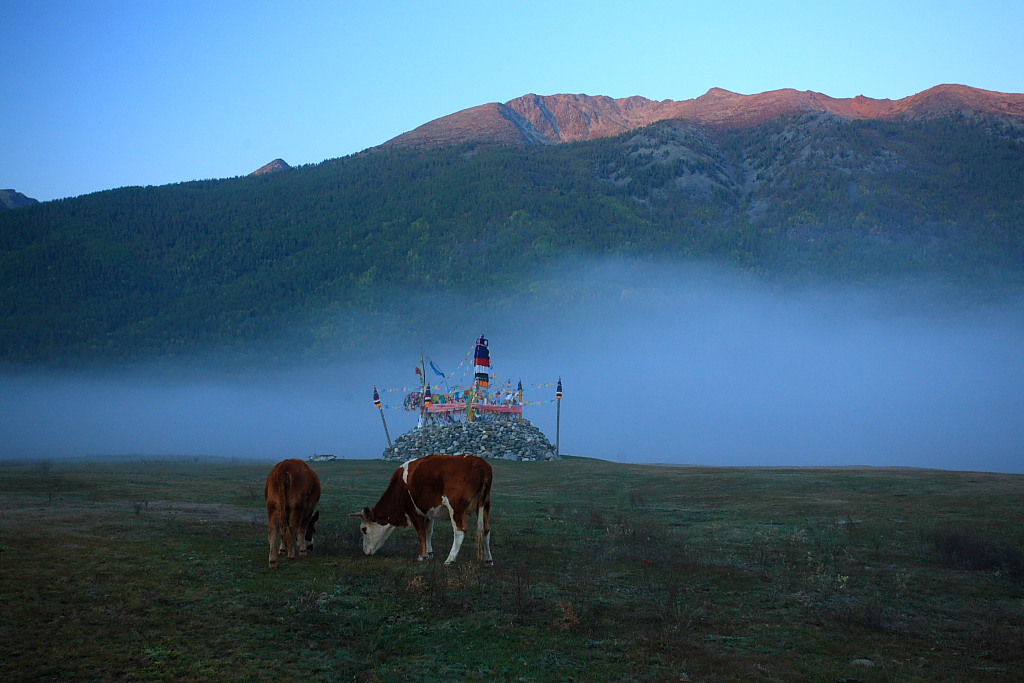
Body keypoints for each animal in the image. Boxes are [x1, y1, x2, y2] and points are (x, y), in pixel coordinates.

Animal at [354, 454, 493, 565]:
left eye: (364, 529)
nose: (365, 551)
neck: (399, 486)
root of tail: (479, 462)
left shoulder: (413, 511)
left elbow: (421, 533)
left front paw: (422, 556)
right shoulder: (428, 512)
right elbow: (428, 532)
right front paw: (430, 553)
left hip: (456, 508)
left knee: (460, 530)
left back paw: (449, 560)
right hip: (485, 505)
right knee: (486, 529)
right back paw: (488, 560)